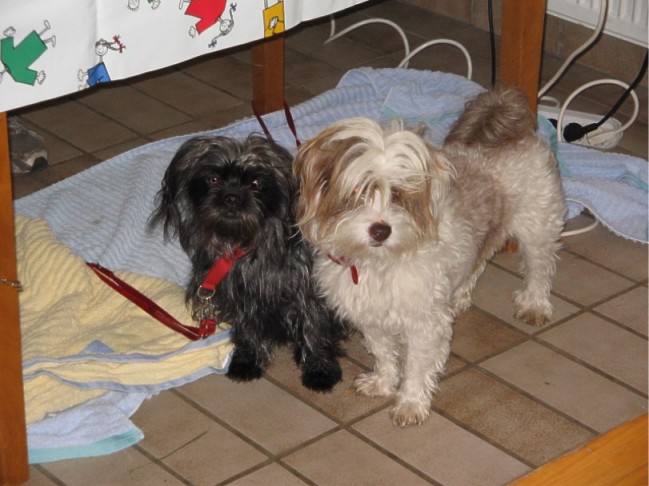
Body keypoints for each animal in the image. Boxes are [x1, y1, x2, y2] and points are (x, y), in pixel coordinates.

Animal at [151, 133, 344, 392]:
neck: (247, 244)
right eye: (213, 179)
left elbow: (315, 329)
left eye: (256, 183)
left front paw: (319, 368)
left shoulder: (310, 295)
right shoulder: (240, 296)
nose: (232, 198)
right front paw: (248, 360)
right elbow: (248, 328)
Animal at [292, 87, 564, 426]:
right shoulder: (370, 315)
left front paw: (410, 403)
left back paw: (535, 305)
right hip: (486, 234)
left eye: (397, 193)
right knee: (478, 261)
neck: (379, 263)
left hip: (537, 227)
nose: (381, 230)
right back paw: (459, 296)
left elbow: (416, 367)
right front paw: (382, 383)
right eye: (358, 192)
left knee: (540, 268)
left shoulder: (425, 323)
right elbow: (383, 353)